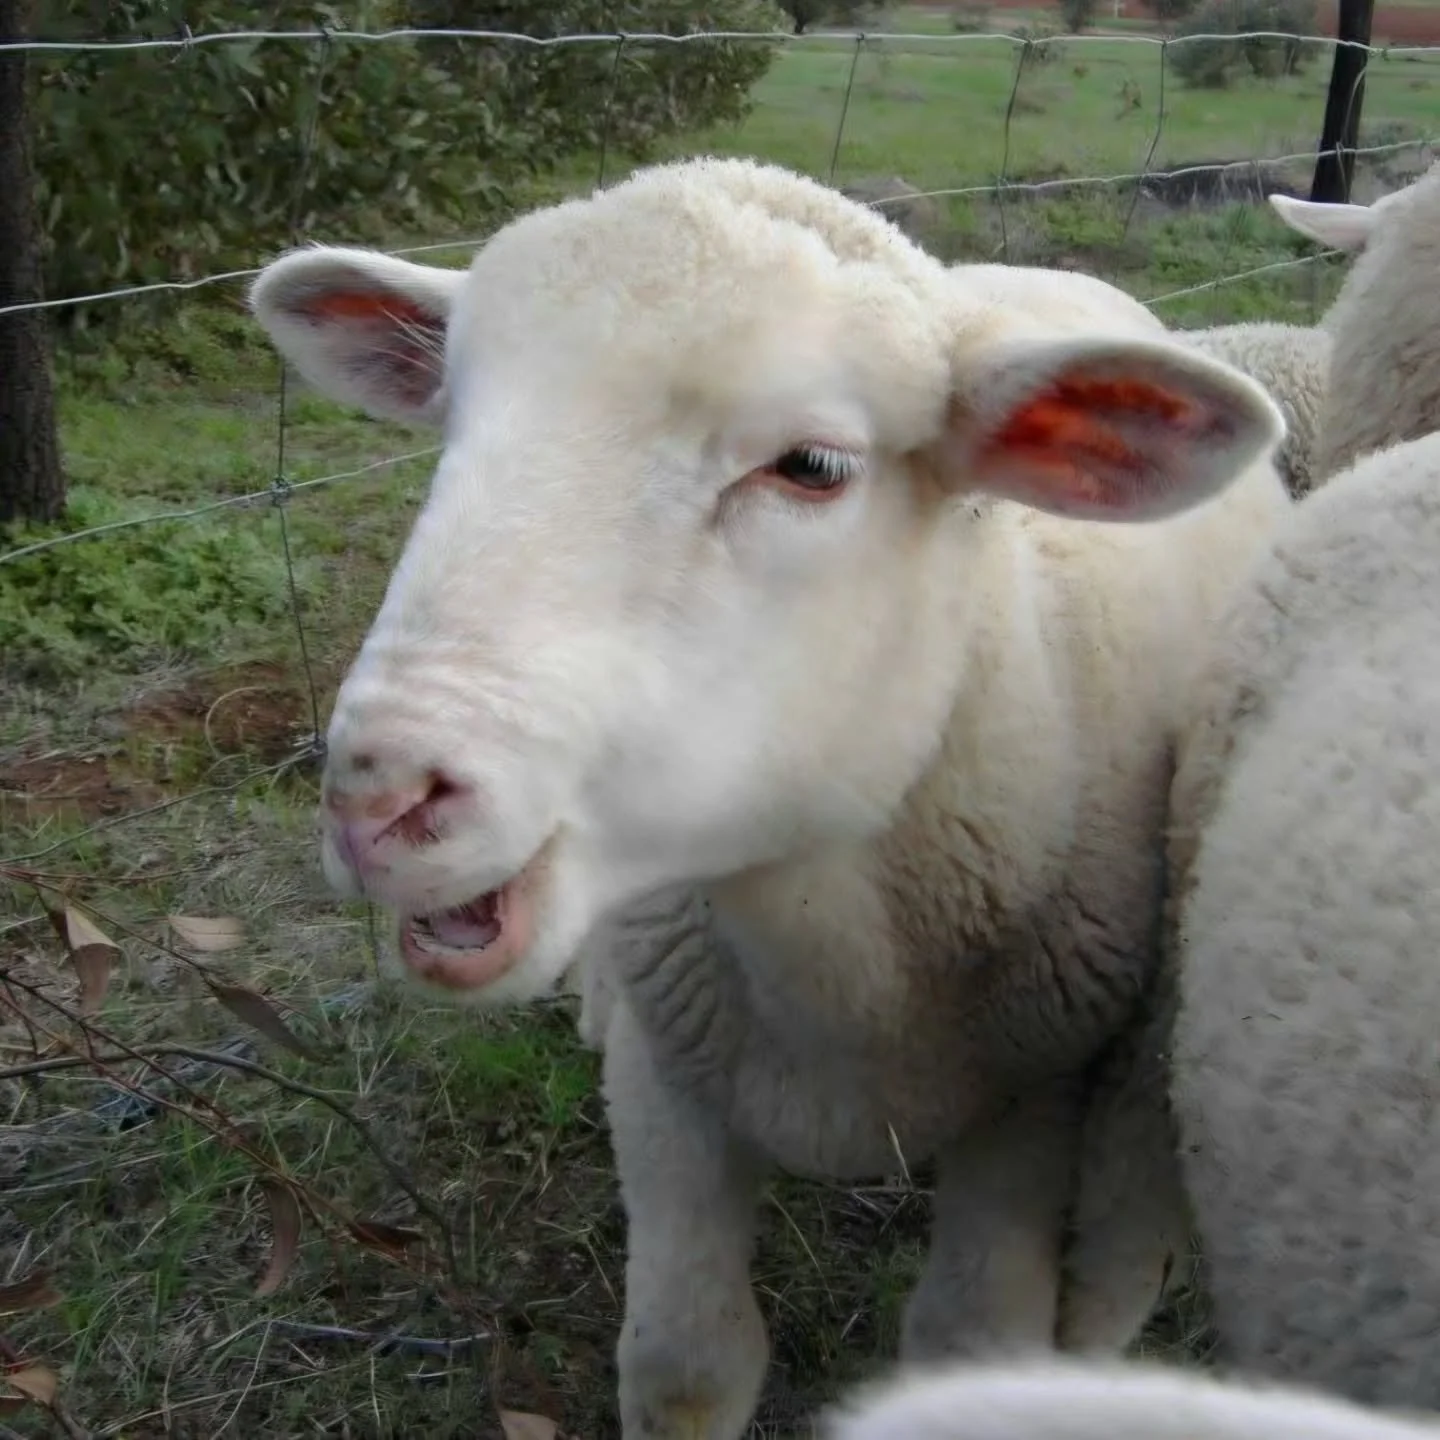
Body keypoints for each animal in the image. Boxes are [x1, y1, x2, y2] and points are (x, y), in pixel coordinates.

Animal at [247, 155, 1290, 1439]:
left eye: (812, 467)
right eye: (451, 422)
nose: (380, 798)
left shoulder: (1038, 1095)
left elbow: (967, 1343)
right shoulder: (669, 1084)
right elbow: (689, 1361)